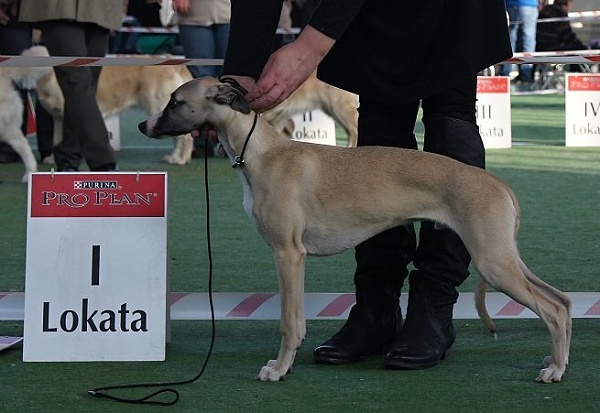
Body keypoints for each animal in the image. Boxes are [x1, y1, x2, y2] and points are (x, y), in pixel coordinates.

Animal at [139, 76, 572, 384]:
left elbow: (289, 322)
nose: (144, 124)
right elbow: (296, 321)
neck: (264, 153)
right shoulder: (291, 258)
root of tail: (498, 185)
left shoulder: (288, 255)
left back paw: (555, 370)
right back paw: (556, 359)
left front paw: (277, 370)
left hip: (493, 261)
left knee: (551, 309)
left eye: (175, 101)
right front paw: (284, 366)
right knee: (563, 301)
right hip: (505, 258)